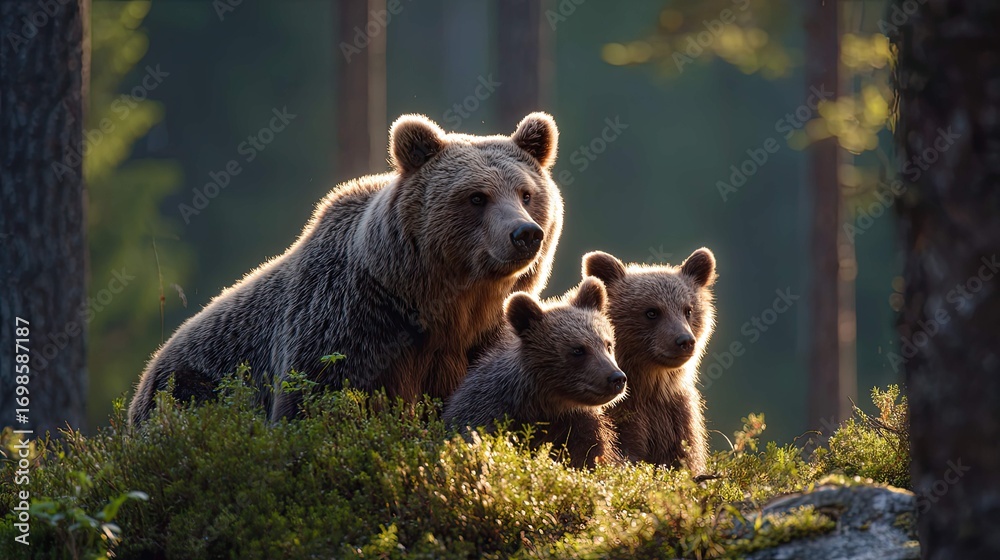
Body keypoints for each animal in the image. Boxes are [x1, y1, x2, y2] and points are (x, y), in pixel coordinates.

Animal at [128, 112, 564, 425]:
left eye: (526, 193)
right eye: (476, 197)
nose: (525, 233)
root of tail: (144, 376)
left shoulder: (483, 339)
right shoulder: (348, 321)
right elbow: (315, 400)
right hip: (191, 386)